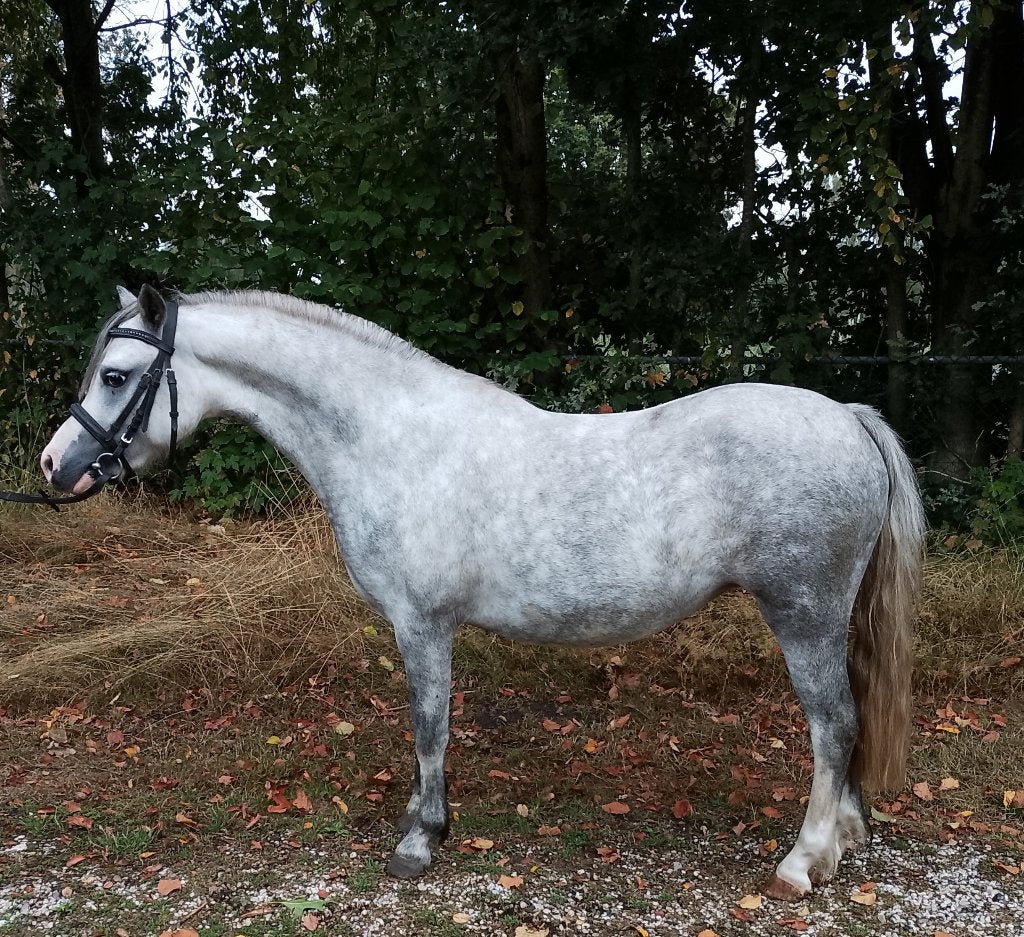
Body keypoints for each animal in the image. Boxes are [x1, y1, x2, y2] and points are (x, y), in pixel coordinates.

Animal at [38, 284, 925, 898]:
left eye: (116, 374)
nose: (55, 465)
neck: (390, 438)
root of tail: (848, 416)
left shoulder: (421, 622)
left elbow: (430, 725)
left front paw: (419, 840)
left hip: (802, 614)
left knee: (833, 724)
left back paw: (802, 861)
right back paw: (843, 837)